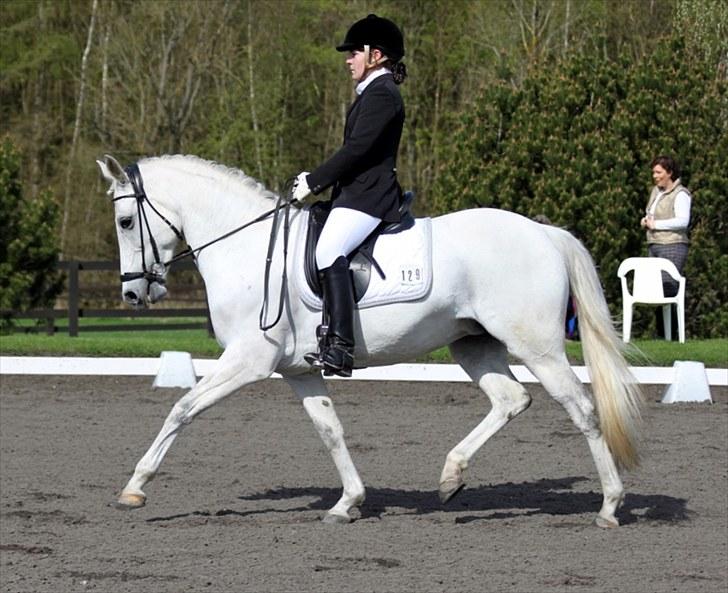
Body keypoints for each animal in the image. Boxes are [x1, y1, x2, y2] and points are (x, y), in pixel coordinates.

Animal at [96, 153, 643, 528]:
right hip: (474, 344)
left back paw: (609, 506)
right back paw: (450, 478)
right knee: (511, 400)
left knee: (582, 410)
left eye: (125, 221)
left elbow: (182, 408)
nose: (133, 293)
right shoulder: (297, 370)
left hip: (538, 347)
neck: (247, 249)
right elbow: (330, 430)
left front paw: (134, 488)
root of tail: (545, 233)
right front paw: (348, 503)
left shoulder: (248, 360)